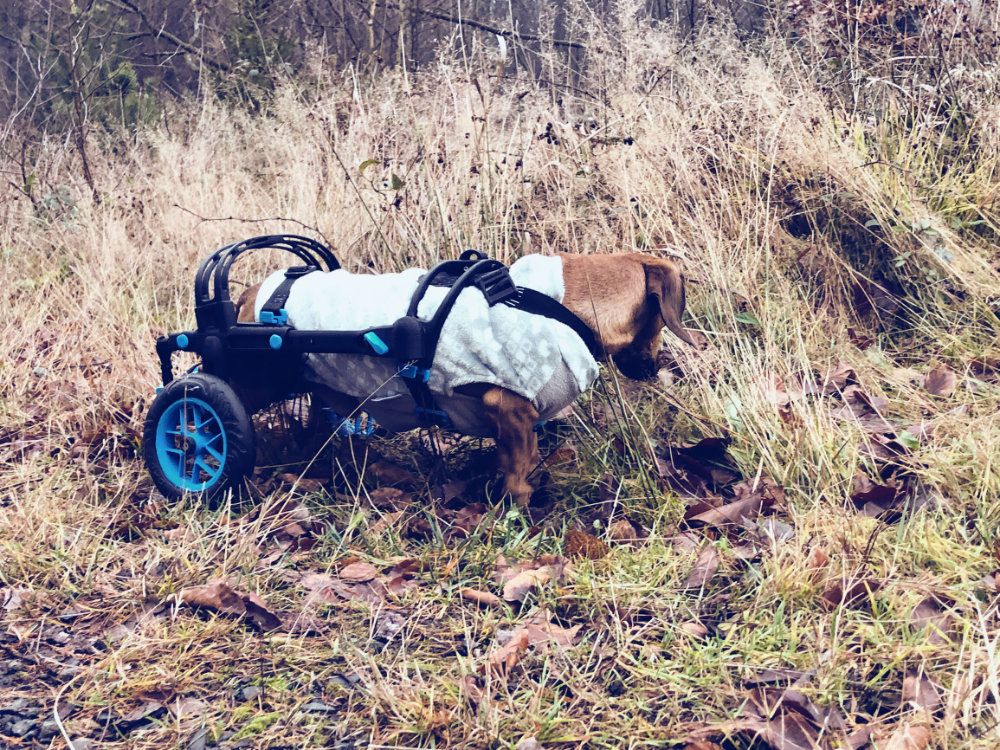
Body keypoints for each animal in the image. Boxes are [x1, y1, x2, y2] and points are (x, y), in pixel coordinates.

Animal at [240, 256, 696, 508]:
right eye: (660, 322)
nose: (655, 370)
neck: (559, 305)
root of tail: (253, 294)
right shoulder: (506, 405)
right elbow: (519, 464)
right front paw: (519, 504)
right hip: (258, 380)